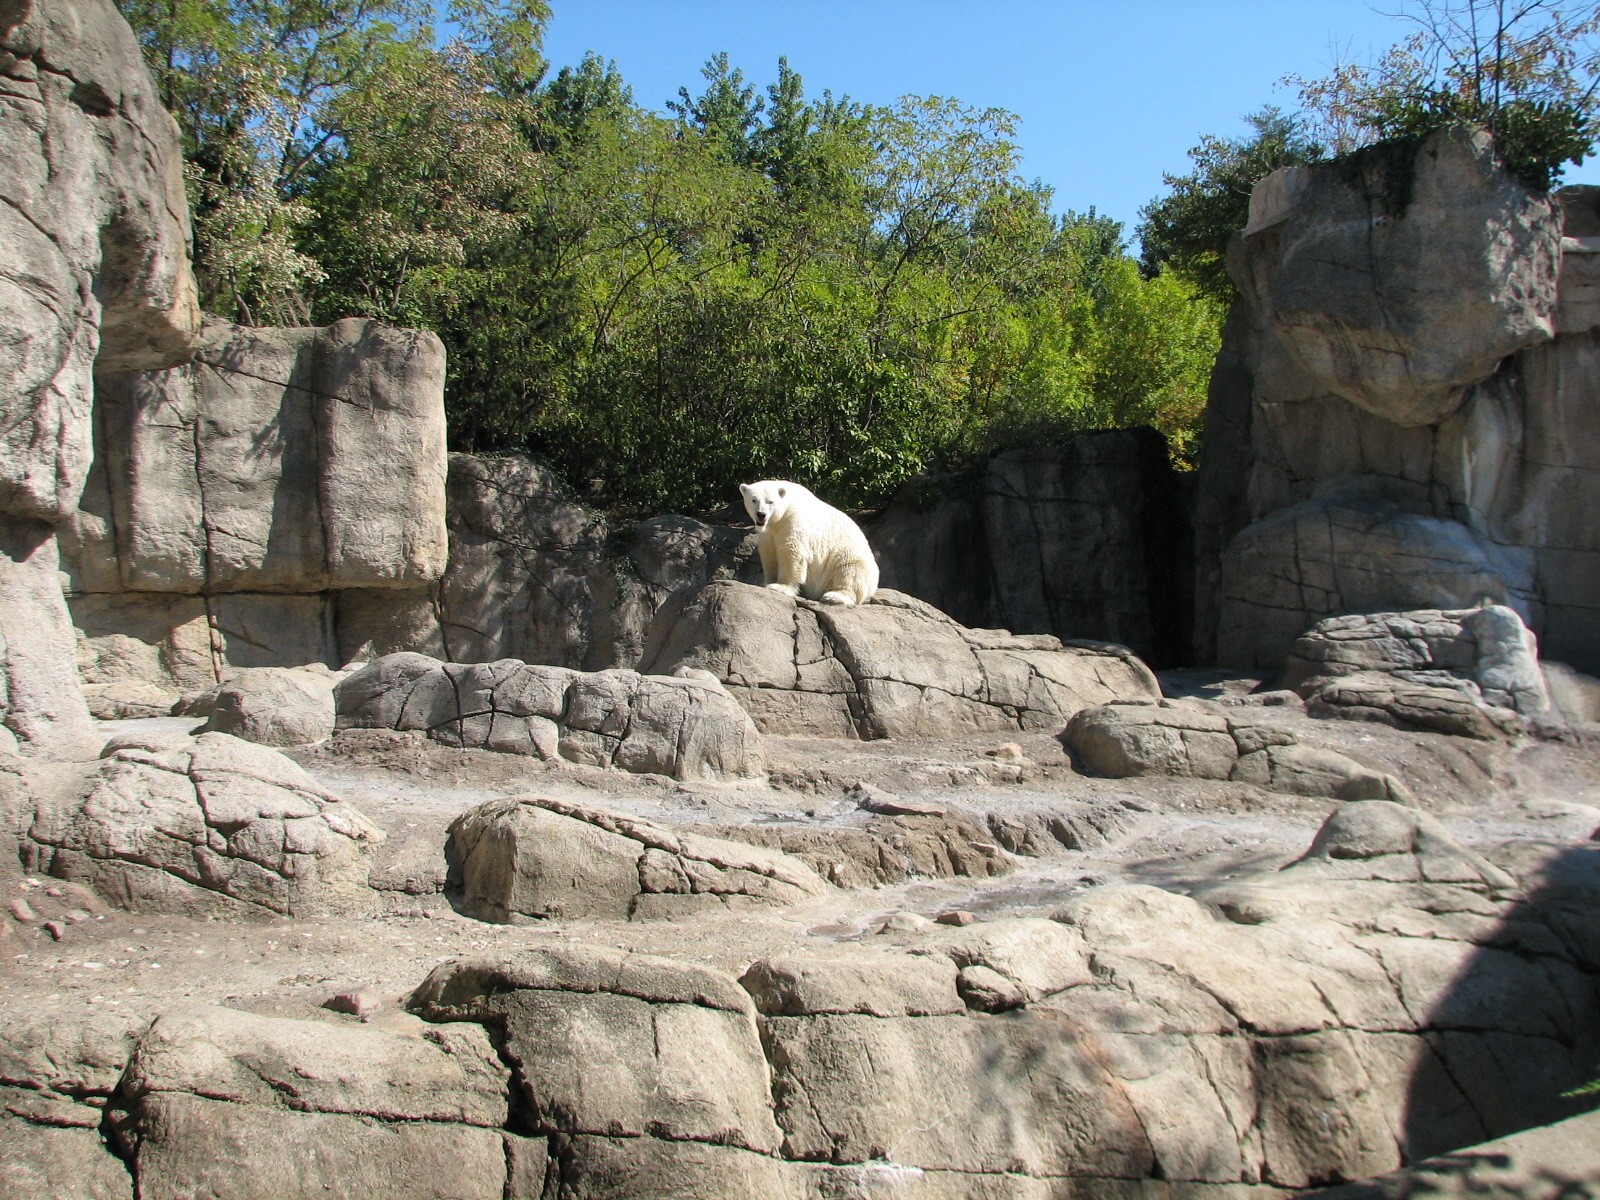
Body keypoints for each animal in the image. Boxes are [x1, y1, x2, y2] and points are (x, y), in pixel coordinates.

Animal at [740, 480, 879, 607]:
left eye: (770, 501)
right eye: (754, 500)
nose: (761, 514)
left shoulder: (793, 519)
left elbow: (791, 551)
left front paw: (779, 586)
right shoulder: (769, 533)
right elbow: (769, 553)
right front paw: (767, 582)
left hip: (849, 555)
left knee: (849, 568)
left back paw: (834, 596)